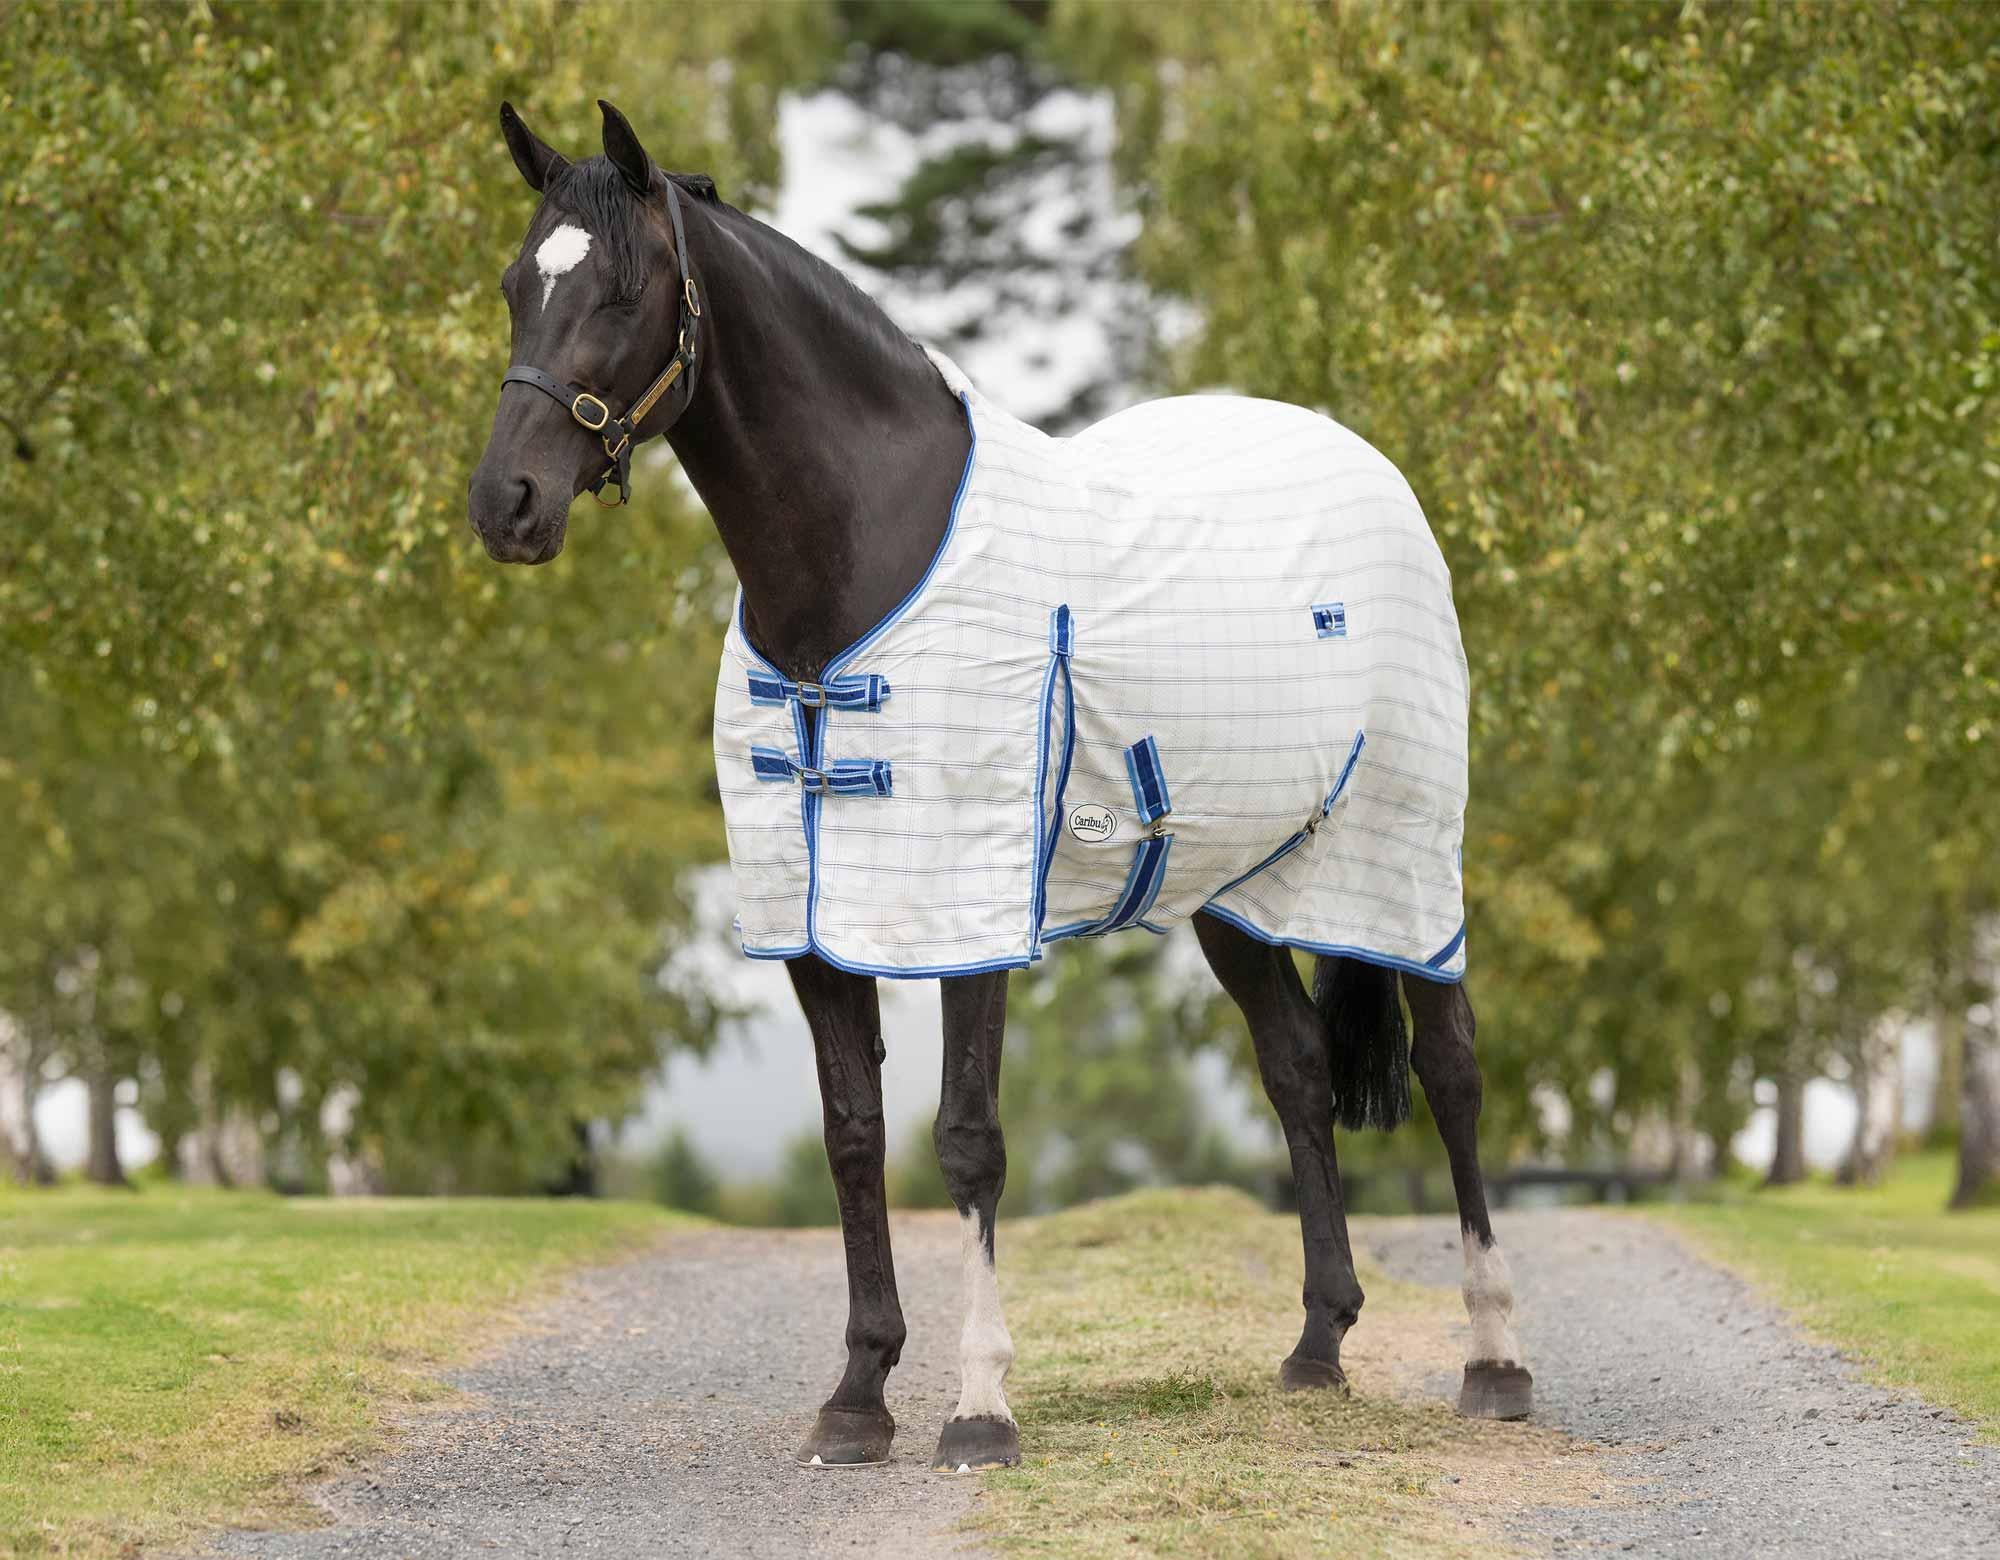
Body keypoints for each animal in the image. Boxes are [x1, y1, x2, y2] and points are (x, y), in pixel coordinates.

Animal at [467, 101, 1531, 1473]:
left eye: (621, 288)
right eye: (514, 285)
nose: (507, 504)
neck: (860, 558)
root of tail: (1375, 475)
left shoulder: (966, 907)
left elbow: (966, 1143)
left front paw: (978, 1409)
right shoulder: (814, 924)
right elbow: (852, 1136)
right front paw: (858, 1395)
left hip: (1400, 852)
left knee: (1452, 1067)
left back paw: (1494, 1360)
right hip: (1227, 885)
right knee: (1295, 1065)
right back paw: (1314, 1346)